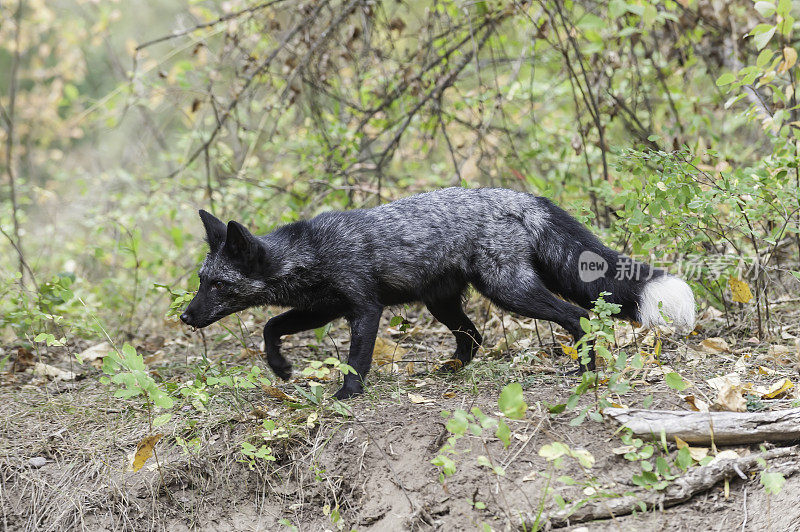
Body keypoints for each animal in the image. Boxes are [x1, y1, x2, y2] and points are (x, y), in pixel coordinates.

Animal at [181, 188, 692, 400]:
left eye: (217, 285)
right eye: (202, 281)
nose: (185, 318)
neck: (311, 252)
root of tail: (523, 197)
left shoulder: (363, 308)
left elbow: (356, 358)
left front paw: (348, 394)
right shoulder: (322, 309)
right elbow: (271, 326)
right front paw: (281, 367)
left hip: (509, 291)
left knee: (575, 317)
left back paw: (585, 368)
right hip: (442, 302)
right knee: (475, 337)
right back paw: (453, 370)